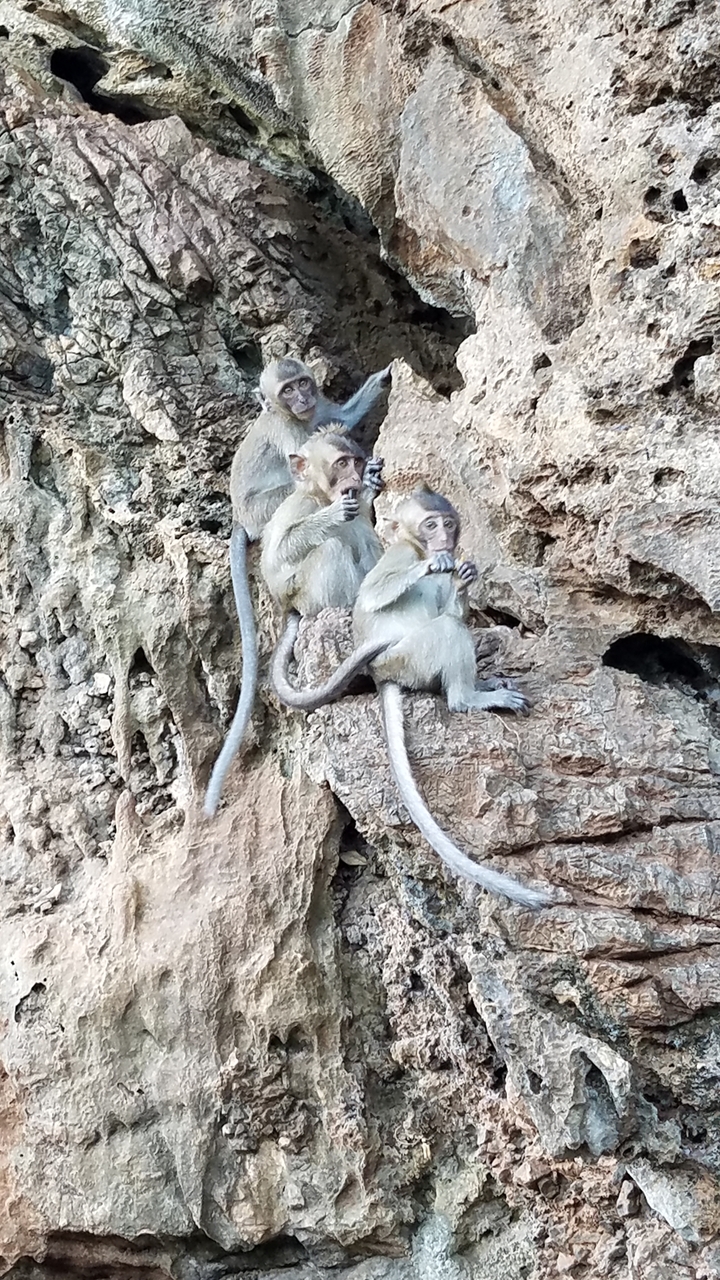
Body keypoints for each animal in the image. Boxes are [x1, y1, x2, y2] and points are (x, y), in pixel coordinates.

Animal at [203, 356, 391, 817]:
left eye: (304, 383)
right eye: (287, 390)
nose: (303, 398)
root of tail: (241, 520)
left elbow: (337, 418)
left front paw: (381, 380)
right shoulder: (290, 435)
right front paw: (358, 489)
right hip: (268, 514)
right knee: (325, 545)